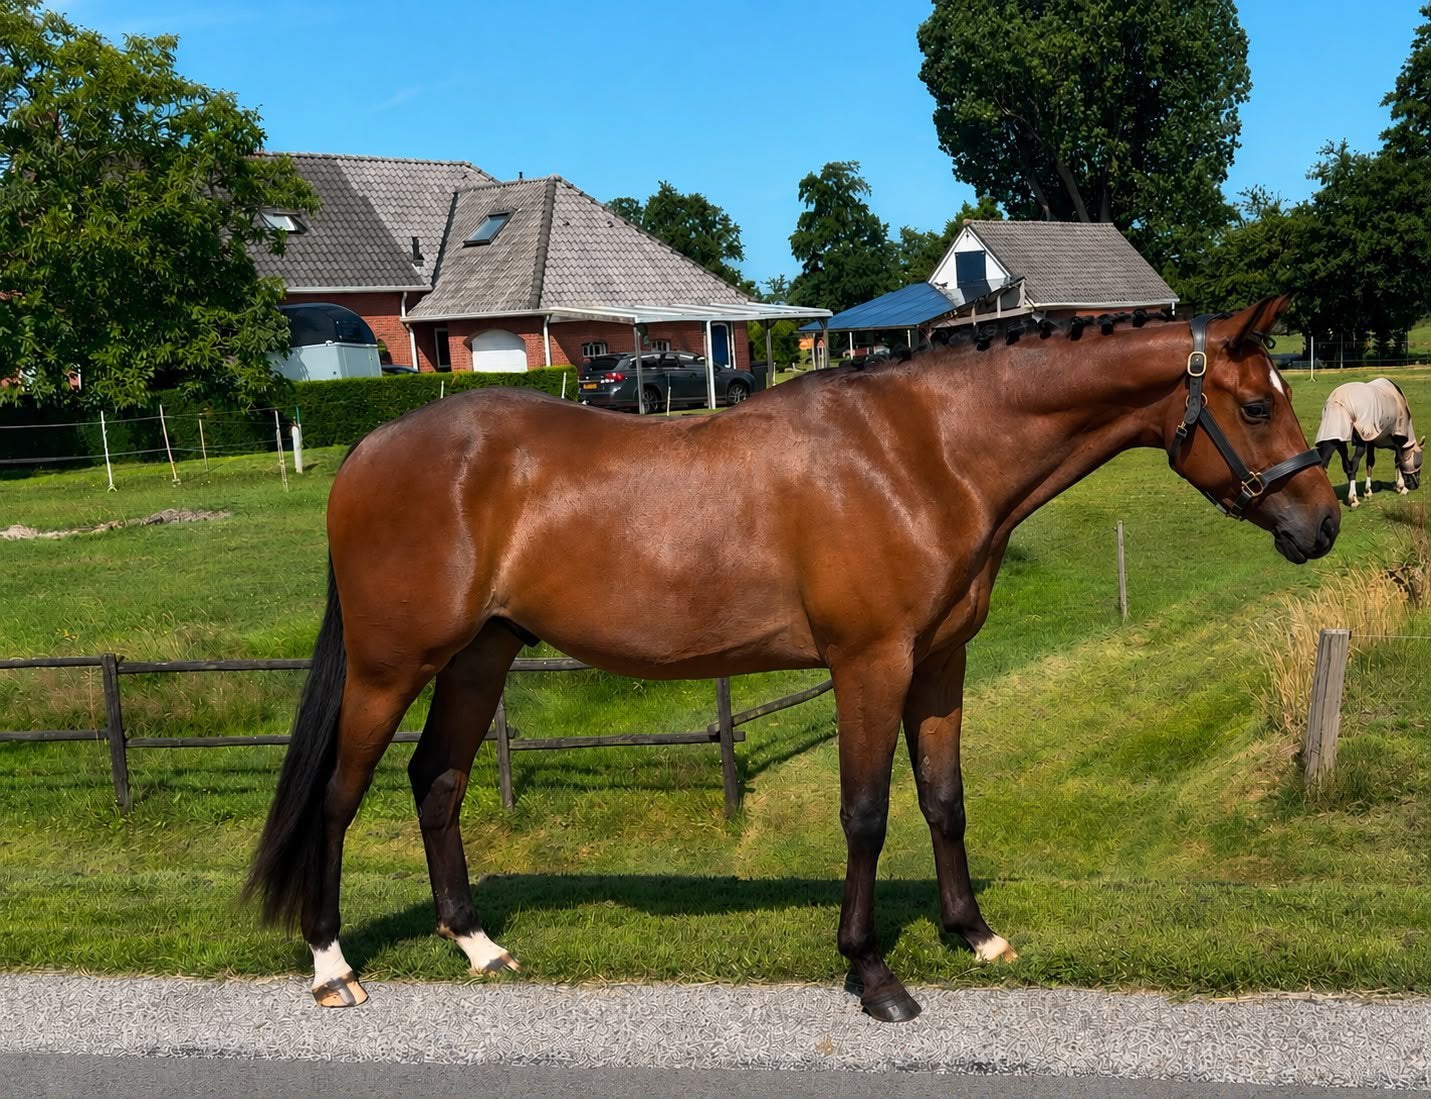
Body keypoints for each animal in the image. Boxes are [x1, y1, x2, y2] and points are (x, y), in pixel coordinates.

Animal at [246, 296, 1338, 1022]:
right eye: (1253, 408)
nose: (1321, 523)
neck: (925, 452)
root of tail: (369, 448)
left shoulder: (939, 665)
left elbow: (944, 798)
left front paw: (972, 931)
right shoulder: (869, 663)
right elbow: (866, 813)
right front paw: (872, 972)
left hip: (481, 656)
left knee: (438, 780)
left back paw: (477, 943)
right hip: (389, 666)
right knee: (341, 796)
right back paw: (331, 965)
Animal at [1314, 378, 1424, 506]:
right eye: (1418, 463)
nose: (1415, 485)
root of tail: (1335, 401)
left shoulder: (1371, 441)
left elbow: (1370, 462)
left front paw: (1368, 491)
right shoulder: (1398, 437)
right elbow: (1399, 460)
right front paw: (1401, 487)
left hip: (1337, 437)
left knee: (1339, 464)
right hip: (1357, 440)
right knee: (1352, 465)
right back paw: (1353, 499)